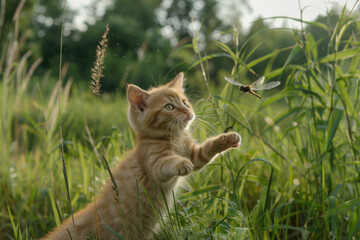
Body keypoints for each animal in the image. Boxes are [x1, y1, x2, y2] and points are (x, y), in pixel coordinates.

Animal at [40, 73, 240, 240]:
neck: (173, 139)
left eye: (185, 102)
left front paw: (227, 139)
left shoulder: (194, 154)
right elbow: (168, 163)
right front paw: (181, 164)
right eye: (169, 107)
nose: (188, 112)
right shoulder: (154, 164)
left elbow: (205, 151)